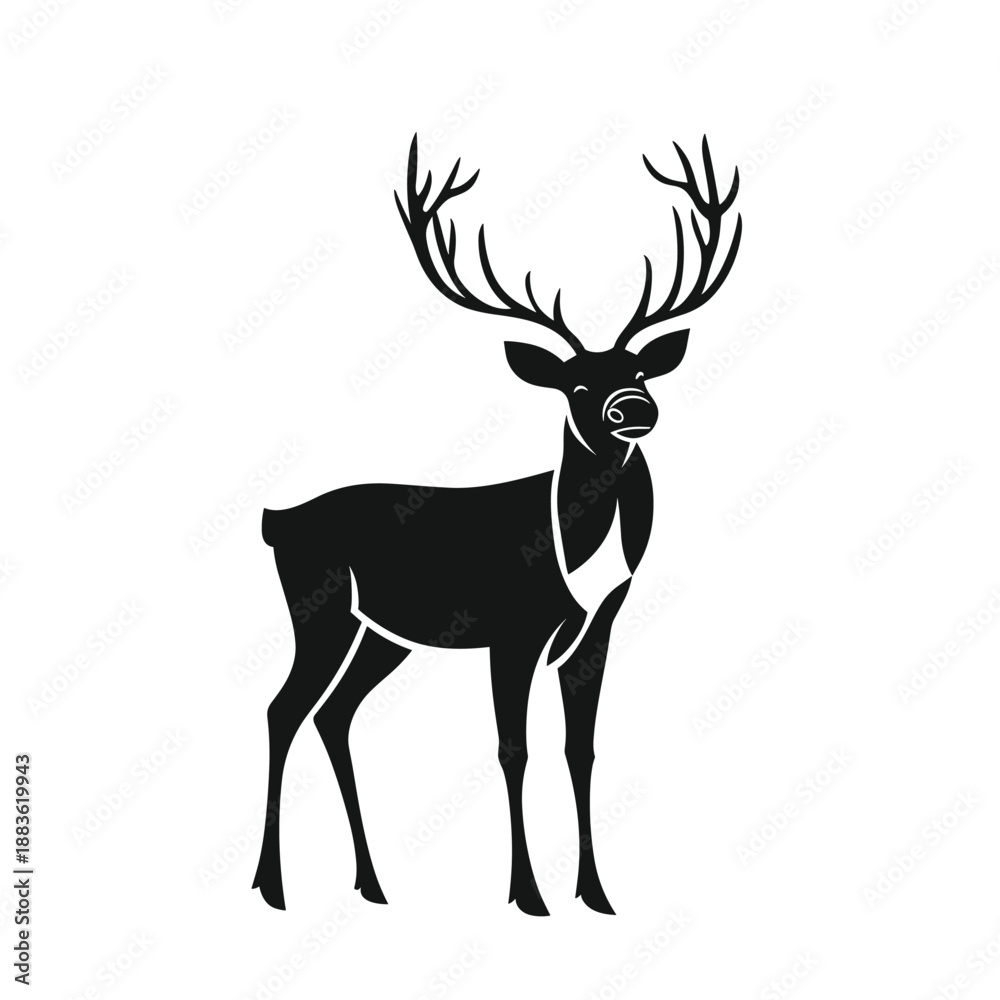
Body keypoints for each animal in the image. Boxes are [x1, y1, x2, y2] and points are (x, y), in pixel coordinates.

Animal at [252, 133, 742, 916]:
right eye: (577, 383)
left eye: (641, 371)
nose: (633, 408)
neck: (571, 554)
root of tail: (277, 520)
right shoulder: (512, 628)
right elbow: (514, 750)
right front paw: (528, 894)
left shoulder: (595, 630)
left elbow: (580, 749)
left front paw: (595, 893)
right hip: (317, 608)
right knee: (282, 710)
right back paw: (272, 887)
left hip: (382, 633)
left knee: (334, 715)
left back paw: (372, 884)